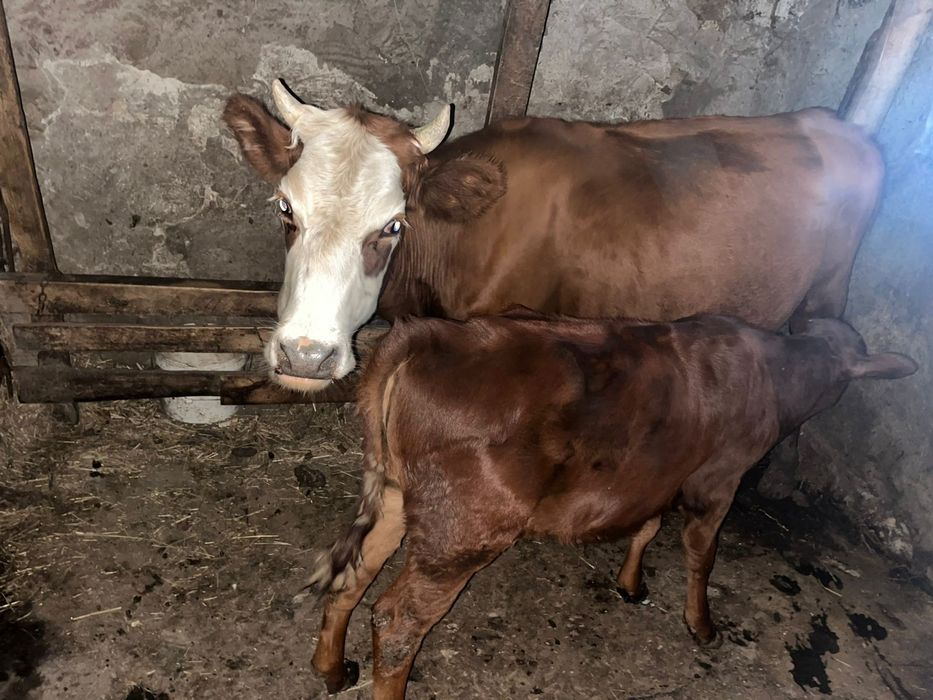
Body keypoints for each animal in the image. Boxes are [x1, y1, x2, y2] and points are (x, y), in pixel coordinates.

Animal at [302, 311, 916, 699]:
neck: (775, 371)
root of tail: (422, 336)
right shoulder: (718, 479)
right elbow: (702, 554)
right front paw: (702, 625)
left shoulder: (655, 475)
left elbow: (647, 525)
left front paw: (630, 583)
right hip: (466, 528)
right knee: (397, 621)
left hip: (396, 494)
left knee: (354, 574)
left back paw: (331, 669)